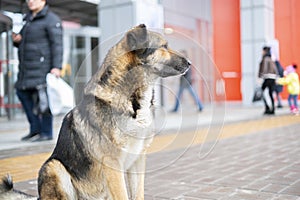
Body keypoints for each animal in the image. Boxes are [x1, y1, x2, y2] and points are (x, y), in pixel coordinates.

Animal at [0, 24, 190, 199]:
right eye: (164, 46)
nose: (189, 63)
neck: (131, 99)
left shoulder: (138, 159)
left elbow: (138, 194)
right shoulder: (113, 164)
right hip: (54, 166)